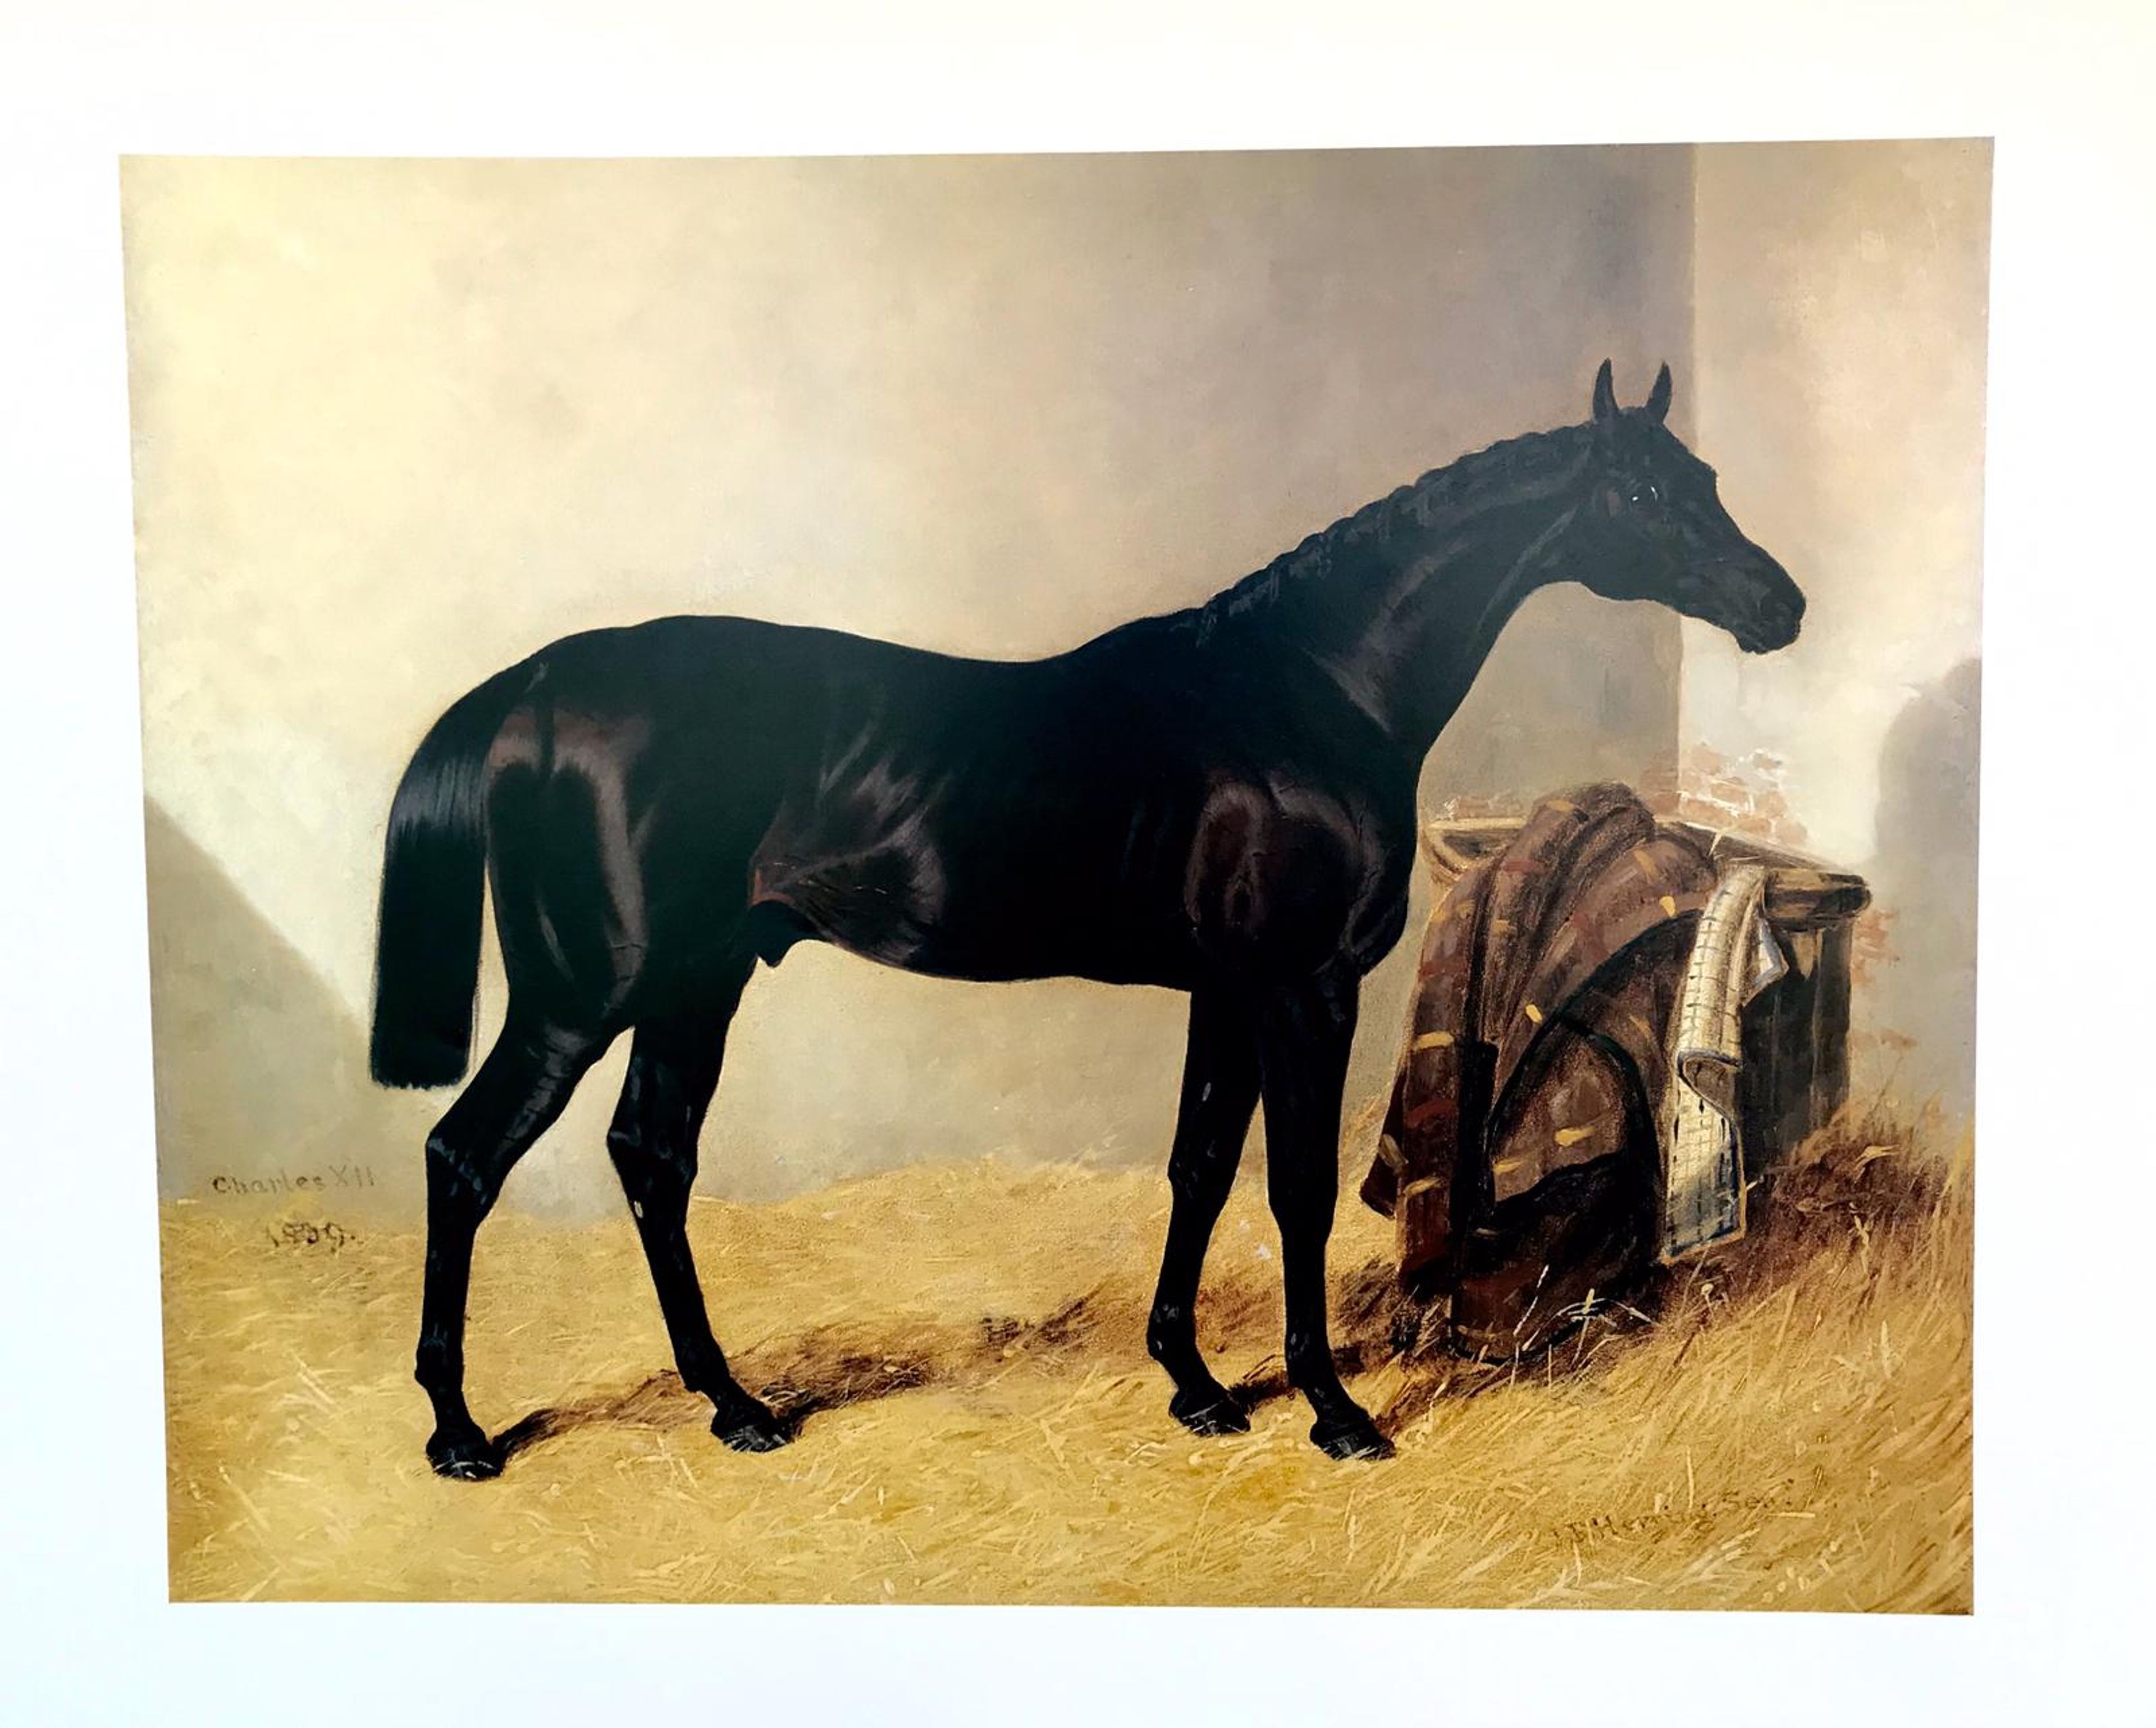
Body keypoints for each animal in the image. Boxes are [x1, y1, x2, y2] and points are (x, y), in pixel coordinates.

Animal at [369, 361, 1804, 1479]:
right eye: (1645, 495)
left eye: (1709, 477)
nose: (1778, 604)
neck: (1307, 689)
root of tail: (533, 685)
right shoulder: (1304, 985)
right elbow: (1291, 1186)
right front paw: (1333, 1409)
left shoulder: (1226, 988)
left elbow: (1201, 1164)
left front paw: (1197, 1384)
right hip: (583, 996)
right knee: (464, 1156)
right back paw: (460, 1432)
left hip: (695, 985)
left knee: (650, 1159)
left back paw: (735, 1404)